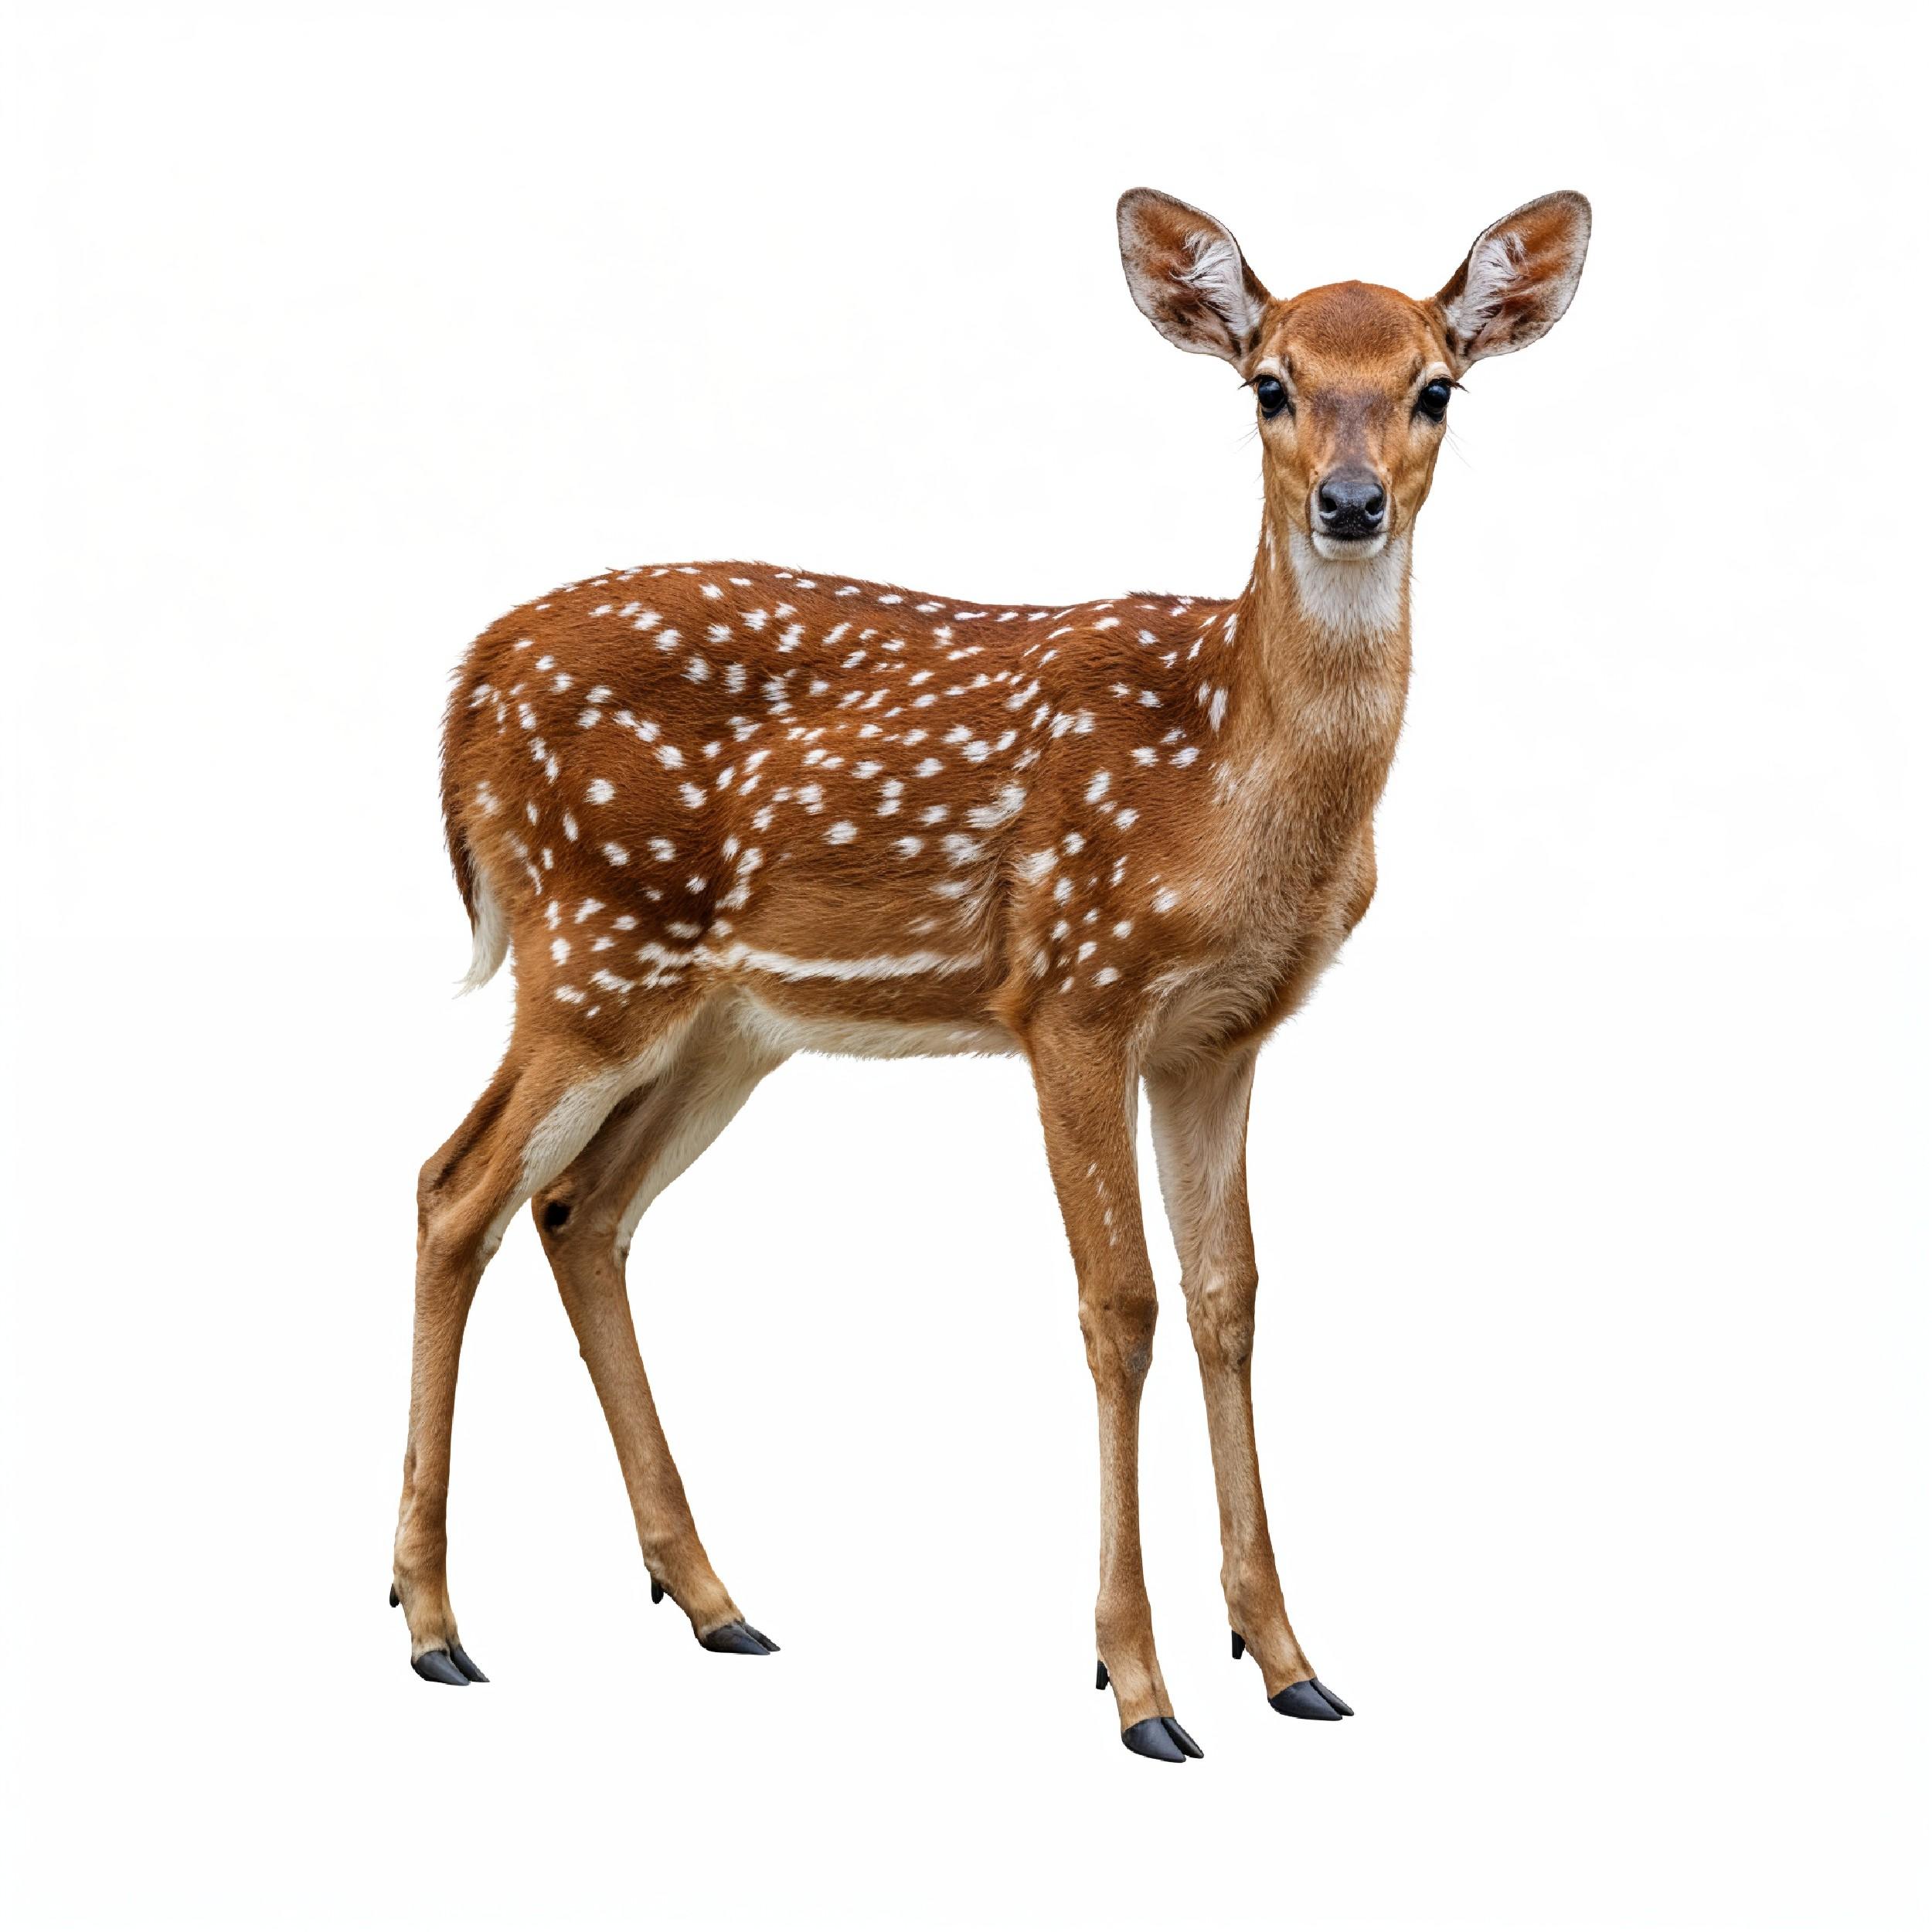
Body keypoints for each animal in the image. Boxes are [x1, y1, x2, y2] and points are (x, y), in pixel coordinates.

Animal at [390, 185, 1591, 1761]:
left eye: (1434, 387)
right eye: (1268, 385)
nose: (1348, 503)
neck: (1229, 779)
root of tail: (466, 684)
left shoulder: (1218, 1035)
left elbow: (1230, 1298)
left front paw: (1287, 1658)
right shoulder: (1072, 988)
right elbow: (1120, 1307)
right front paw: (1137, 1688)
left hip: (725, 1020)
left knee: (580, 1210)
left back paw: (712, 1599)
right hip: (593, 947)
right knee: (454, 1188)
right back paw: (433, 1623)